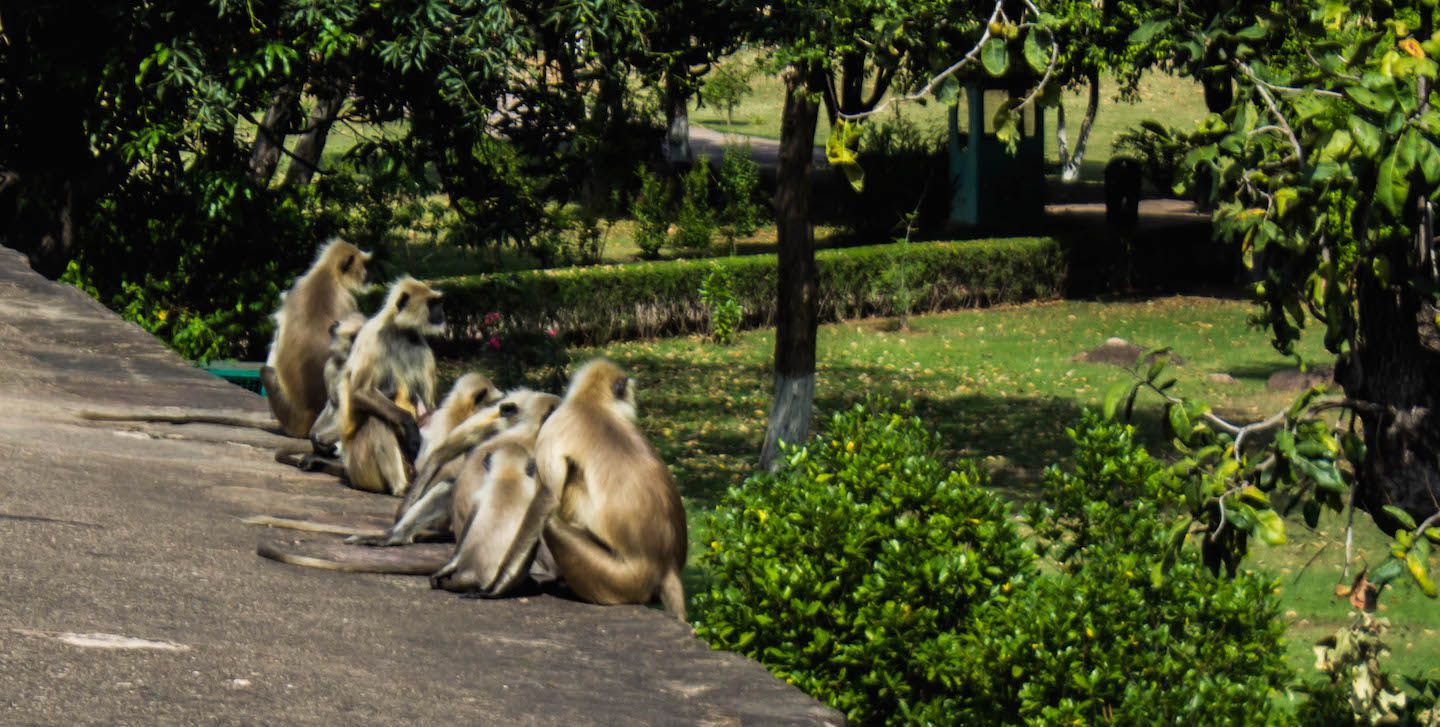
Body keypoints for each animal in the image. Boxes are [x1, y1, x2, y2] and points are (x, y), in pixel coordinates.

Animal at [261, 238, 372, 438]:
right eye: (364, 266)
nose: (368, 275)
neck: (327, 274)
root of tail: (308, 415)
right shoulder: (349, 299)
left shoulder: (296, 285)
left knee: (267, 369)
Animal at [338, 276, 443, 496]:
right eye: (433, 304)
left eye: (439, 304)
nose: (442, 313)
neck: (399, 331)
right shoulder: (371, 335)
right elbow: (359, 393)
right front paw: (409, 425)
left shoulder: (421, 347)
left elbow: (430, 407)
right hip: (360, 467)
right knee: (377, 420)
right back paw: (401, 488)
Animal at [533, 359, 688, 620]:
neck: (591, 402)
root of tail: (665, 564)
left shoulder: (554, 424)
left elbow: (548, 500)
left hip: (621, 579)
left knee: (551, 522)